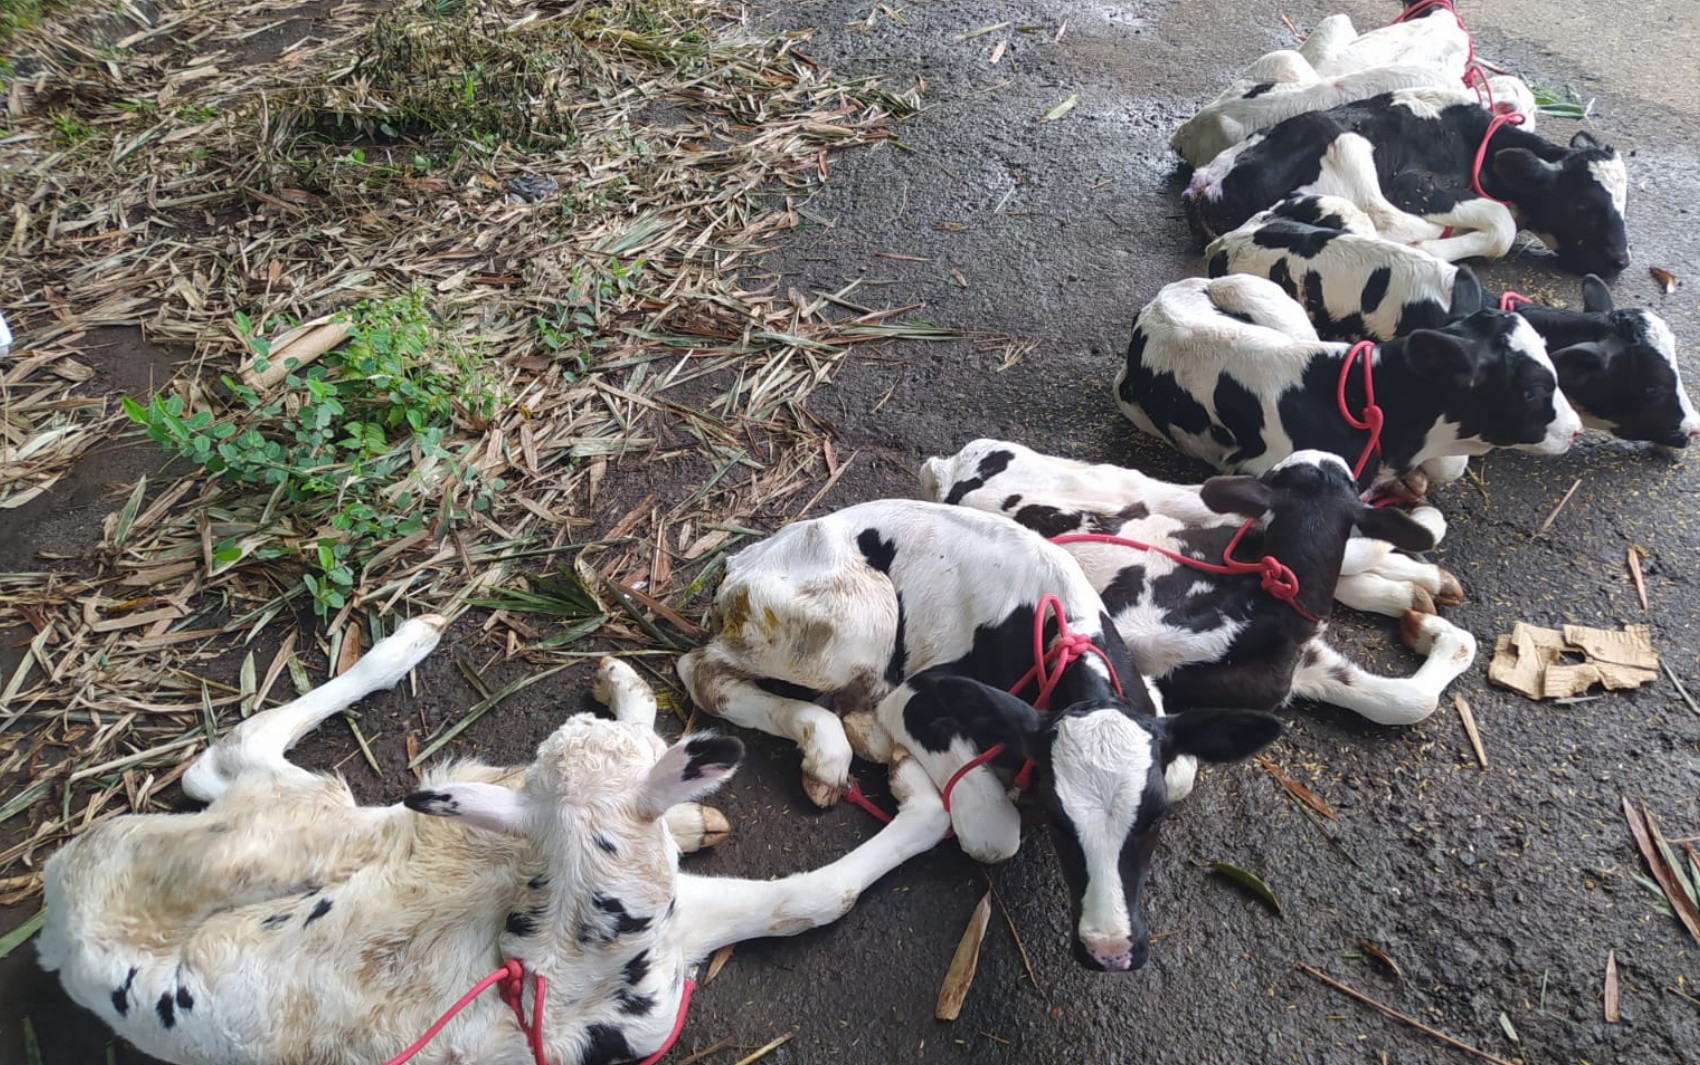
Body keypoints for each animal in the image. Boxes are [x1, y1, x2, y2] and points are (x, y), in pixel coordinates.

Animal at [676, 496, 1278, 973]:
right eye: (1057, 818)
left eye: (1153, 818)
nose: (1110, 951)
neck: (1066, 637)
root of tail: (748, 556)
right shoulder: (915, 696)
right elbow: (993, 833)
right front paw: (921, 778)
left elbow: (1181, 772)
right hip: (851, 619)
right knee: (702, 672)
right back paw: (829, 752)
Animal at [924, 442, 1482, 728]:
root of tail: (952, 467)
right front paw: (1420, 604)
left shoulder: (1300, 664)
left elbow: (1403, 701)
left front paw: (1434, 630)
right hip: (1125, 483)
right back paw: (1418, 566)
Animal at [1183, 88, 1632, 277]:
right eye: (1584, 205)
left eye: (1623, 205)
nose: (1621, 261)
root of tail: (1204, 181)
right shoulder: (1411, 185)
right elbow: (1500, 225)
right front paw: (1438, 245)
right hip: (1343, 141)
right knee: (1382, 220)